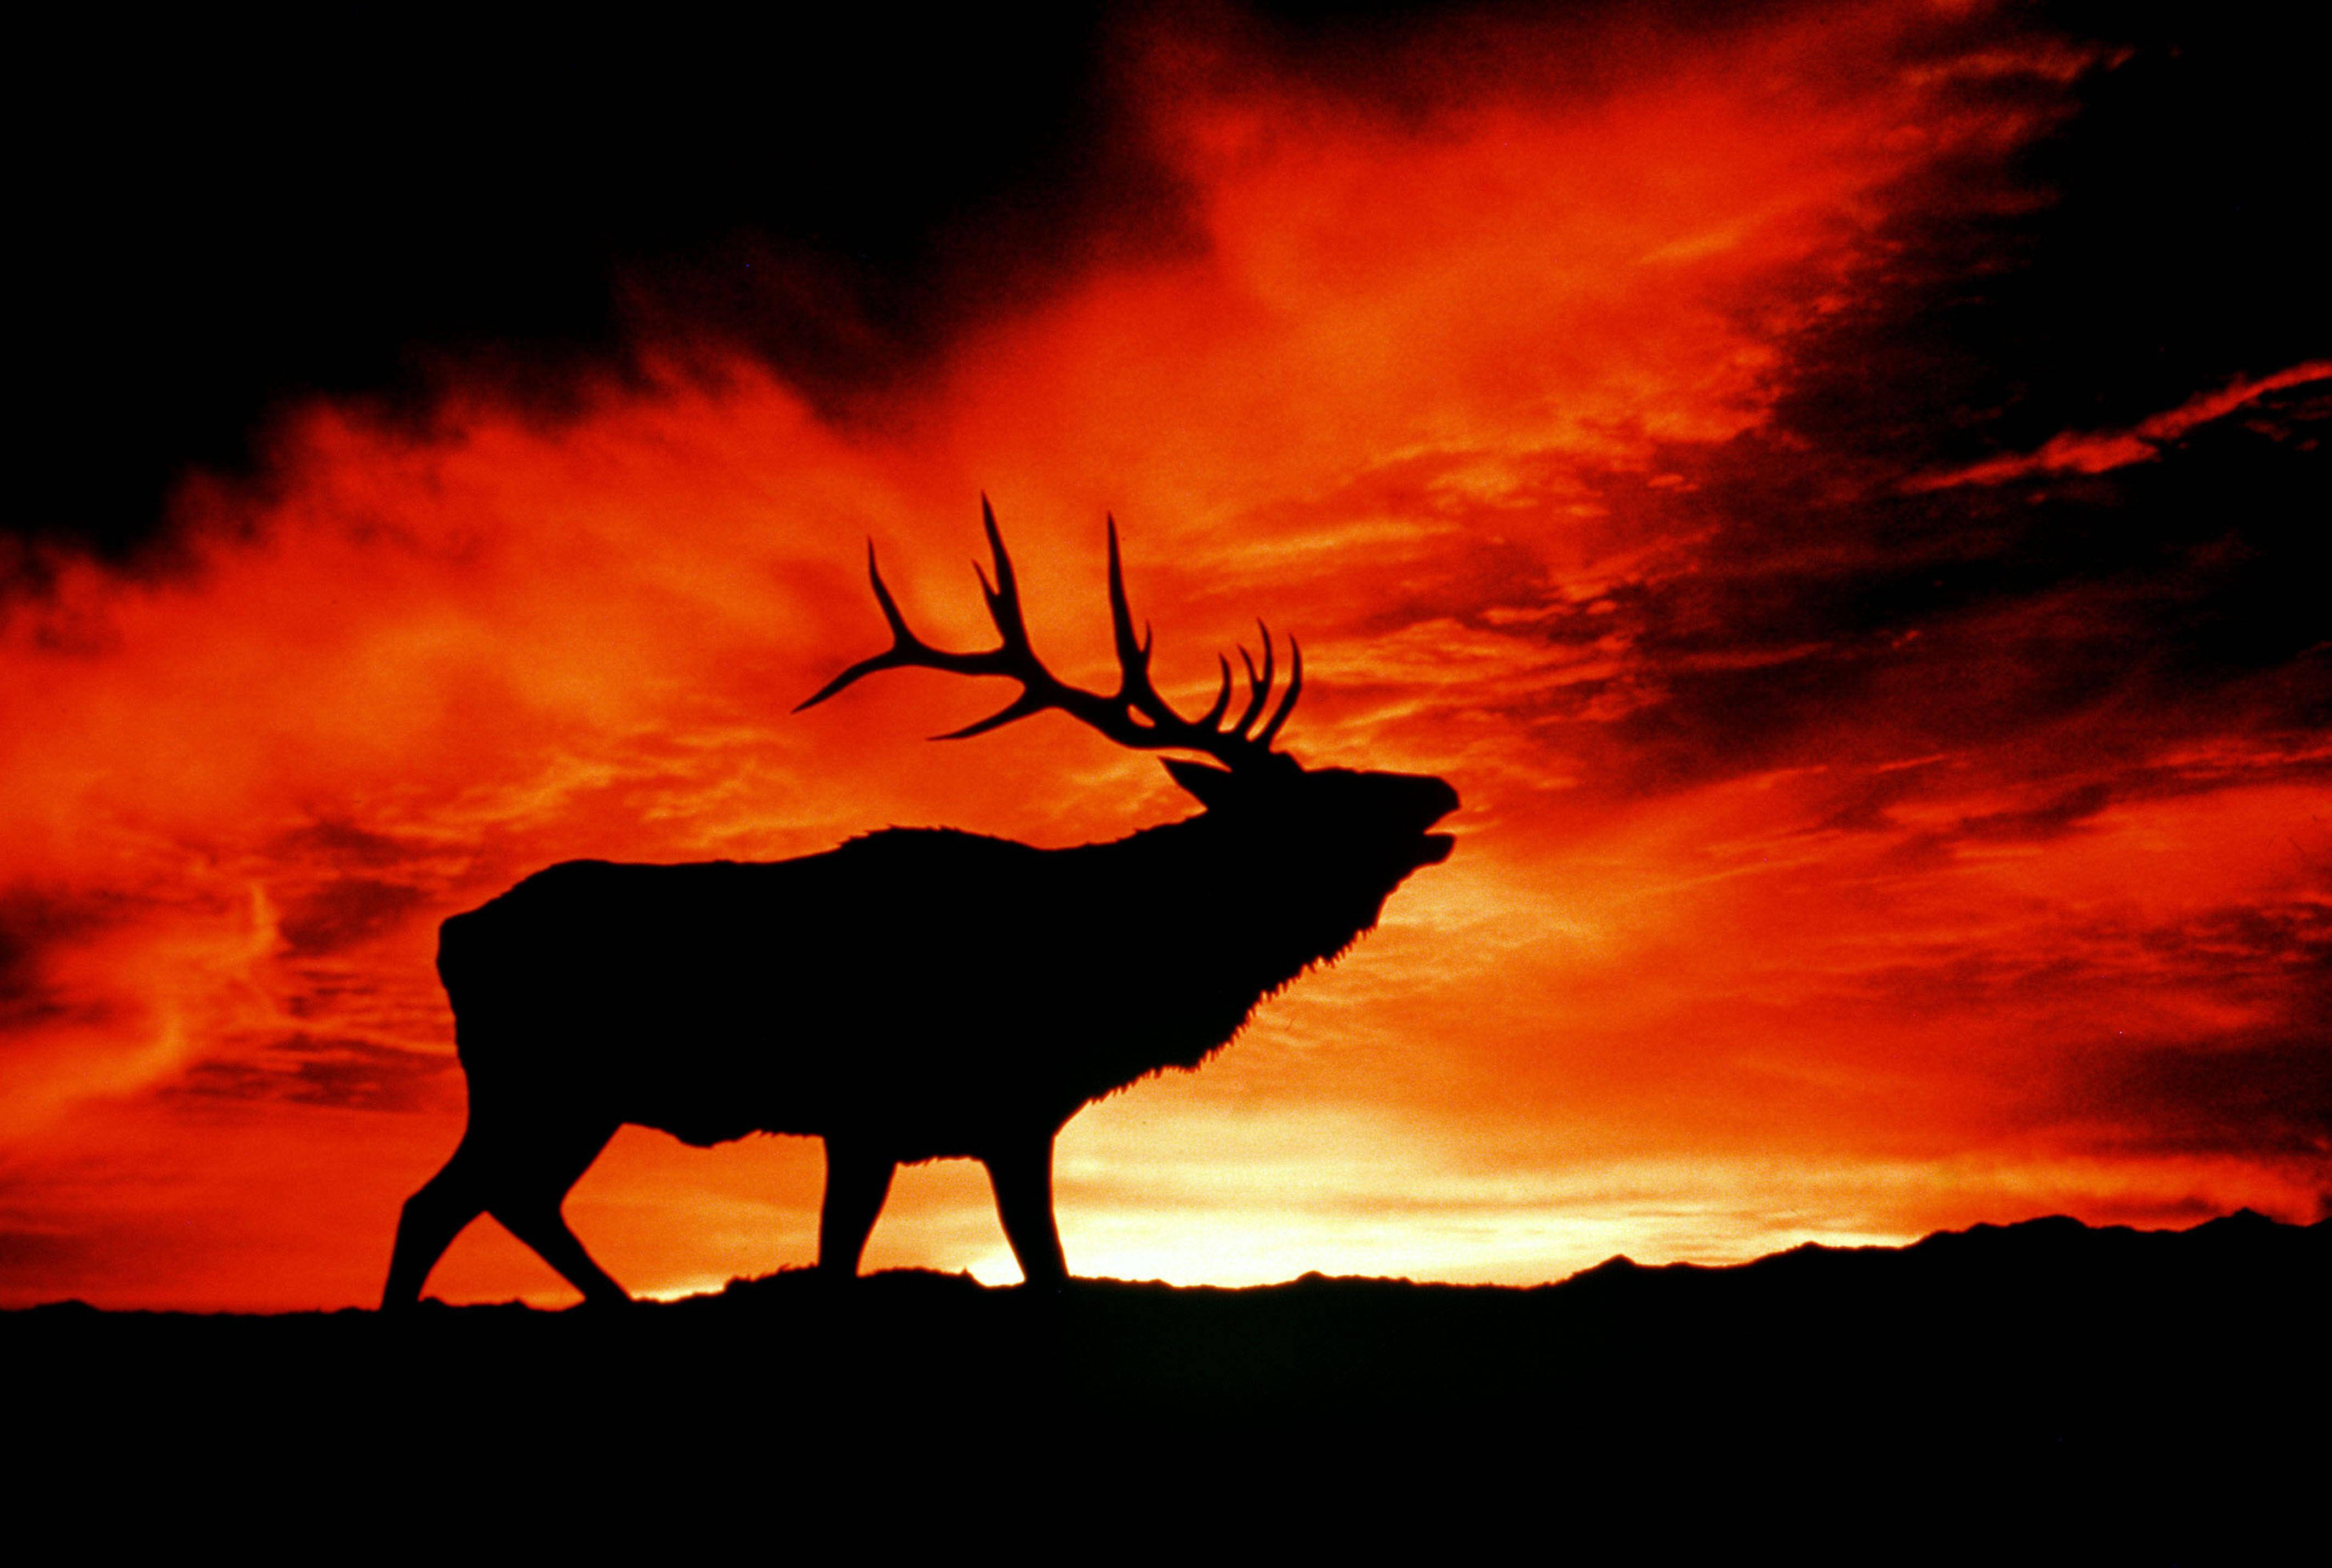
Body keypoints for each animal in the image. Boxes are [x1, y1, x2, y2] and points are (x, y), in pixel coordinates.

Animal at [381, 501, 1457, 1308]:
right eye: (1312, 802)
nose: (1436, 791)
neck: (1107, 981)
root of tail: (452, 935)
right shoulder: (908, 1116)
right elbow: (923, 1272)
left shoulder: (976, 1121)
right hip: (538, 1082)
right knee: (441, 1203)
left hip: (570, 1097)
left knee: (498, 1199)